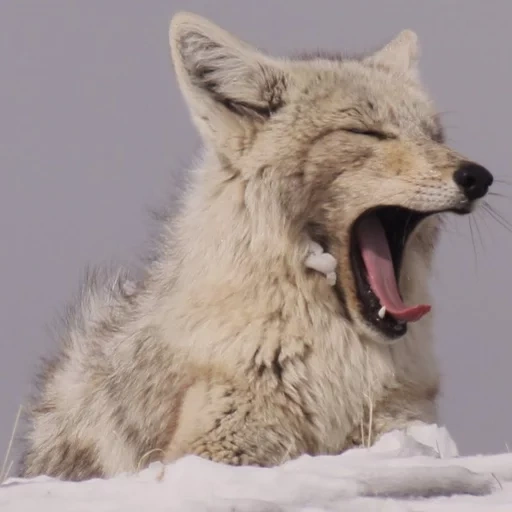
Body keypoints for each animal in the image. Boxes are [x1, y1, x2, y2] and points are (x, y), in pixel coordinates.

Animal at [19, 14, 492, 482]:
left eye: (435, 136)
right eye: (366, 132)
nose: (478, 177)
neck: (337, 359)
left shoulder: (401, 418)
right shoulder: (214, 447)